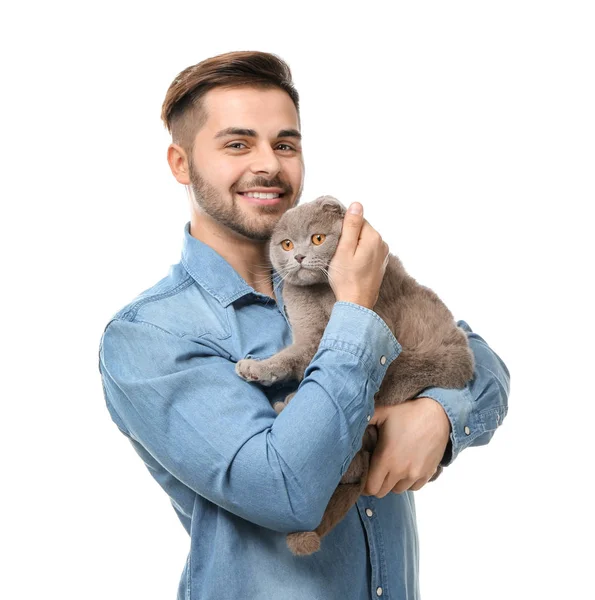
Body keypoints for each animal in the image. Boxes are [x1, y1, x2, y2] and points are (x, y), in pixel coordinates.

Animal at [235, 197, 472, 556]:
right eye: (286, 244)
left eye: (317, 238)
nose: (299, 256)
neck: (318, 294)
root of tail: (465, 363)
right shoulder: (309, 340)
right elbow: (289, 359)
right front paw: (256, 369)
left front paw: (264, 376)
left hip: (420, 360)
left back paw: (287, 405)